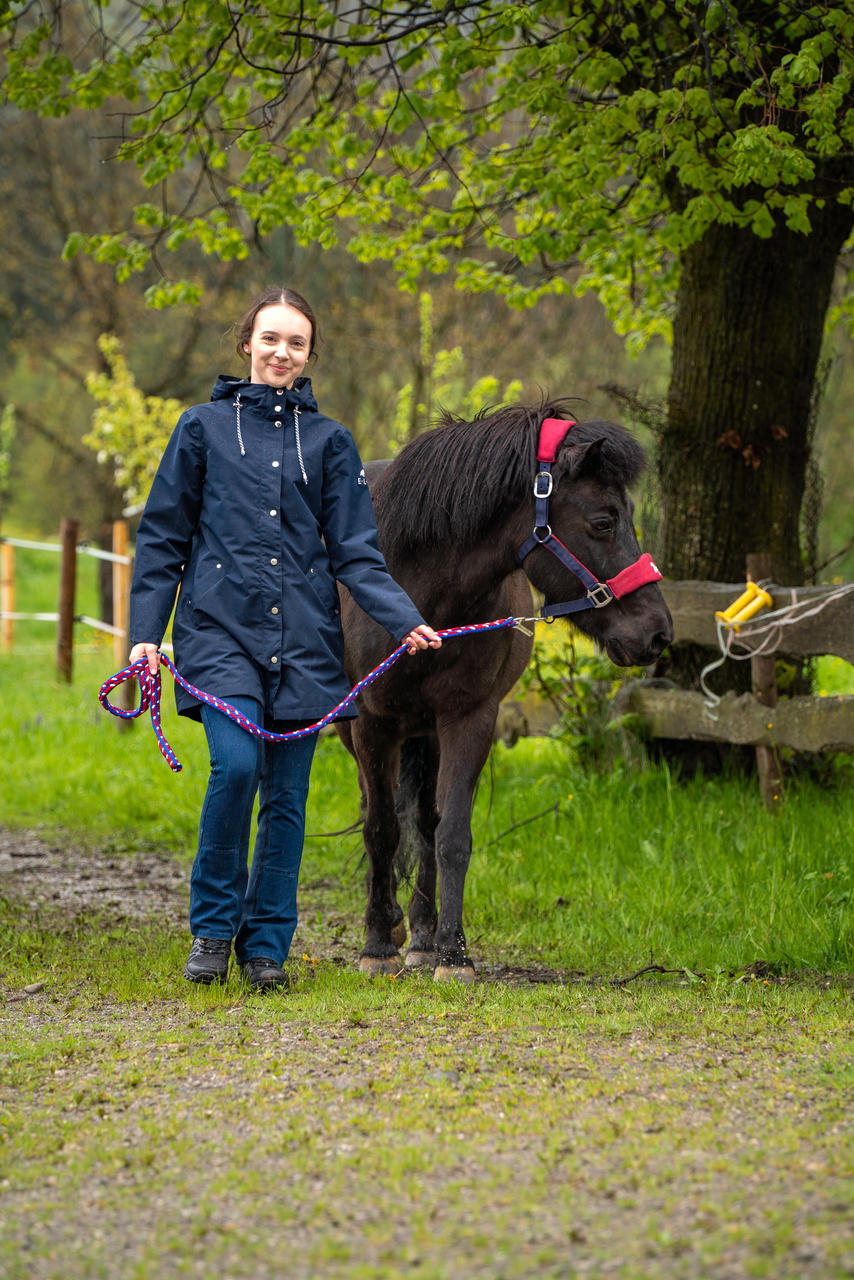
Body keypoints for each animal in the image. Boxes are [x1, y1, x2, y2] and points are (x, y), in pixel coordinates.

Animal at [338, 399, 670, 977]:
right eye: (604, 522)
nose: (658, 631)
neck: (416, 595)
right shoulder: (373, 724)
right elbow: (379, 830)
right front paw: (377, 945)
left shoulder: (470, 719)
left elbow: (451, 835)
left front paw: (453, 952)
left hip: (427, 733)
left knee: (424, 821)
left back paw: (422, 936)